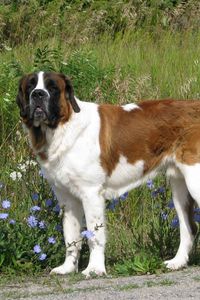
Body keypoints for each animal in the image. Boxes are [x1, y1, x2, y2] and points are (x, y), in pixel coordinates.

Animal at [16, 70, 200, 276]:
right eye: (30, 86)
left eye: (53, 87)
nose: (38, 94)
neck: (62, 128)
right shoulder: (66, 199)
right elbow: (71, 236)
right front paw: (68, 268)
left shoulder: (91, 193)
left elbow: (94, 234)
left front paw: (94, 269)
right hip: (179, 185)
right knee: (188, 227)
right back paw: (177, 262)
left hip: (194, 179)